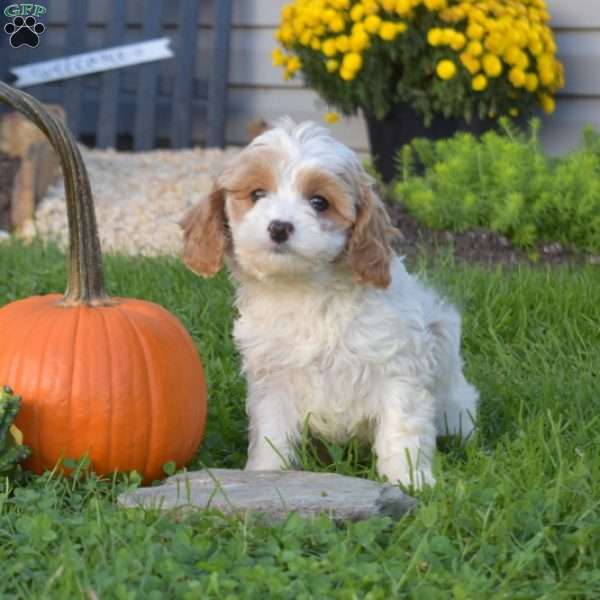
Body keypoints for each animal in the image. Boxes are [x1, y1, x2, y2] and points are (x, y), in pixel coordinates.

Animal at [182, 119, 478, 490]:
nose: (280, 227)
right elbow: (271, 434)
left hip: (457, 408)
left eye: (319, 202)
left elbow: (401, 428)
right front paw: (265, 474)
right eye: (257, 195)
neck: (305, 289)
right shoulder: (273, 380)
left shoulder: (398, 366)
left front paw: (409, 480)